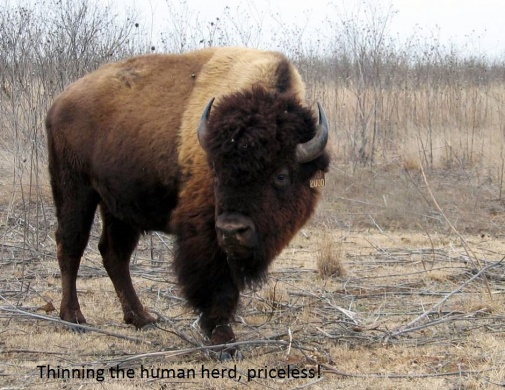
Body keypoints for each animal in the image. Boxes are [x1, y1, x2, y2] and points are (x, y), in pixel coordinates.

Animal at [46, 47, 330, 358]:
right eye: (216, 171)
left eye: (281, 175)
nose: (233, 230)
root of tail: (59, 102)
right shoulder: (205, 234)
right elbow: (217, 284)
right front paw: (223, 340)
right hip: (75, 190)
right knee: (70, 245)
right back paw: (74, 318)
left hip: (118, 207)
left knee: (114, 254)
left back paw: (141, 318)